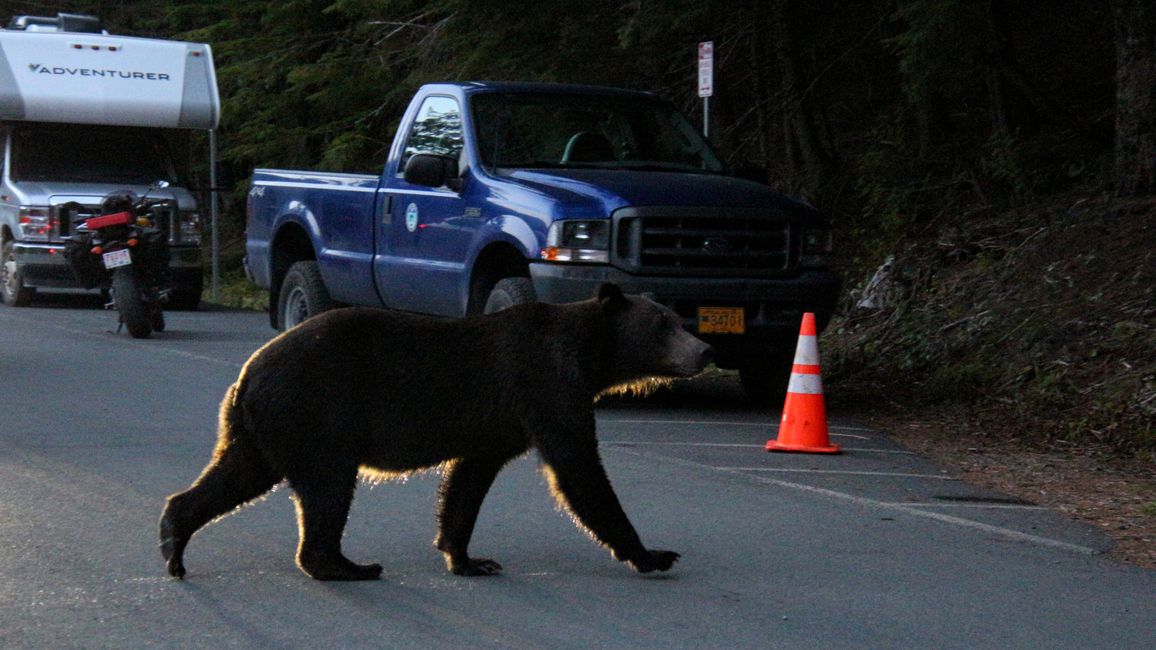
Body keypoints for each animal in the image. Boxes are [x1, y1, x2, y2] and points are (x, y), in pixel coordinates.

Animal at [158, 281, 707, 578]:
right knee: (328, 489)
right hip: (316, 412)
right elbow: (578, 468)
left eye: (680, 319)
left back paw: (173, 538)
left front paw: (468, 556)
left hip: (262, 427)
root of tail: (248, 371)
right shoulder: (545, 386)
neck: (590, 360)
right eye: (663, 325)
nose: (705, 350)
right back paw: (349, 566)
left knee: (237, 474)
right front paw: (653, 553)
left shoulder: (500, 422)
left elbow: (469, 481)